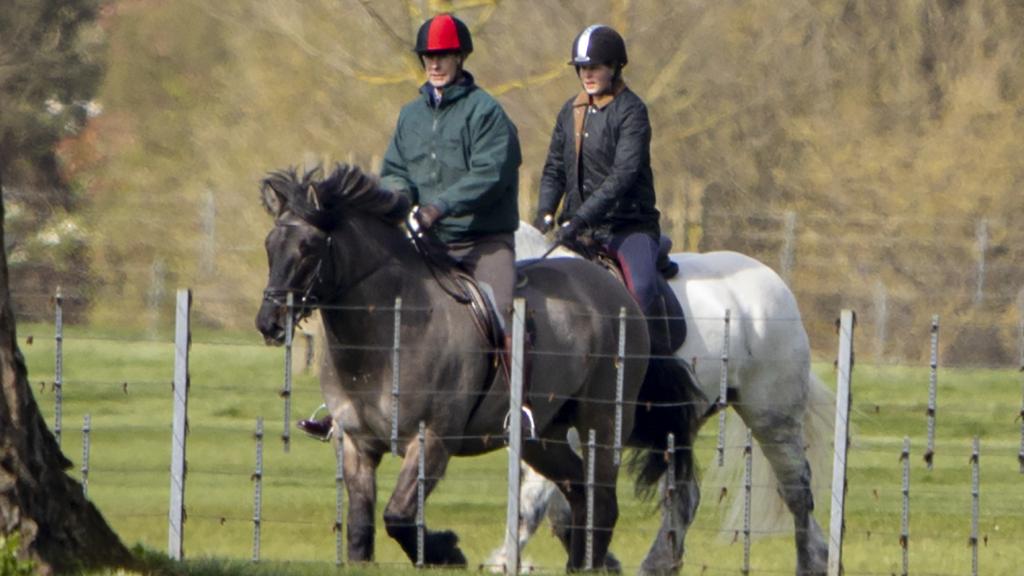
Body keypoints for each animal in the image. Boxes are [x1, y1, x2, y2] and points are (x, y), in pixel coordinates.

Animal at [251, 163, 692, 565]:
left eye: (309, 246)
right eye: (270, 245)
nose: (268, 322)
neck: (386, 336)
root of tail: (616, 290)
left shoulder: (432, 441)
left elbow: (399, 516)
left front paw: (447, 551)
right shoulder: (356, 444)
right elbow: (362, 531)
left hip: (601, 422)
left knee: (602, 502)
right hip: (544, 437)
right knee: (580, 493)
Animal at [491, 223, 835, 573]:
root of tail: (774, 283)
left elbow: (534, 505)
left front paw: (508, 561)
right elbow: (559, 509)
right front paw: (603, 560)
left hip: (772, 419)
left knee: (796, 491)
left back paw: (812, 561)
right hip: (682, 425)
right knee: (686, 497)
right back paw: (658, 563)